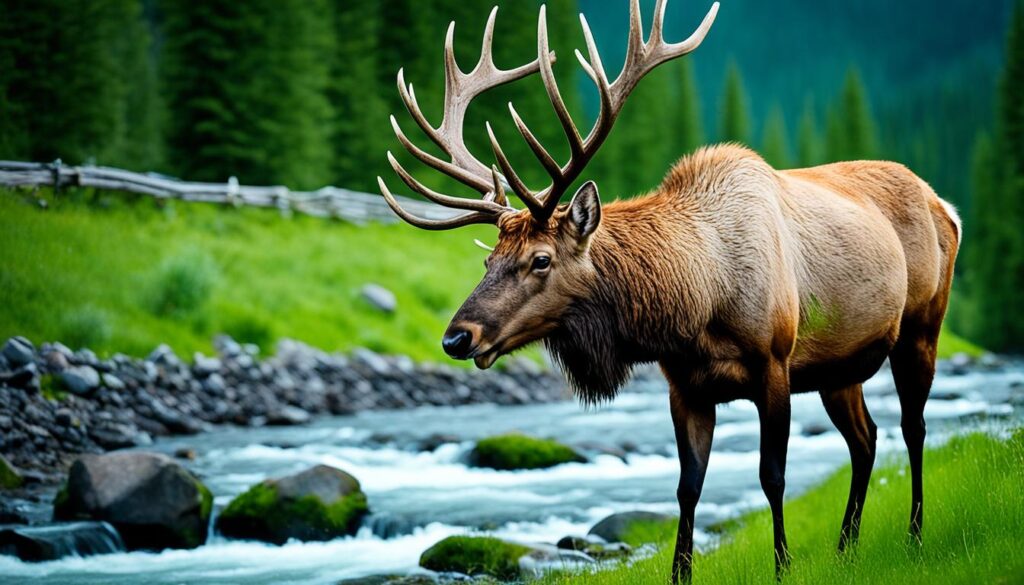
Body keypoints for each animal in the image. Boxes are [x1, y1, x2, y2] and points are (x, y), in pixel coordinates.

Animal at [376, 2, 958, 581]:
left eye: (540, 259)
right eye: (487, 259)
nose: (457, 337)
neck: (700, 304)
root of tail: (946, 206)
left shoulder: (774, 361)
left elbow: (772, 476)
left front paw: (783, 566)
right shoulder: (685, 385)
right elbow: (687, 489)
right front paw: (683, 570)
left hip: (921, 328)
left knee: (913, 427)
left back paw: (914, 536)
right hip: (839, 368)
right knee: (866, 440)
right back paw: (845, 547)